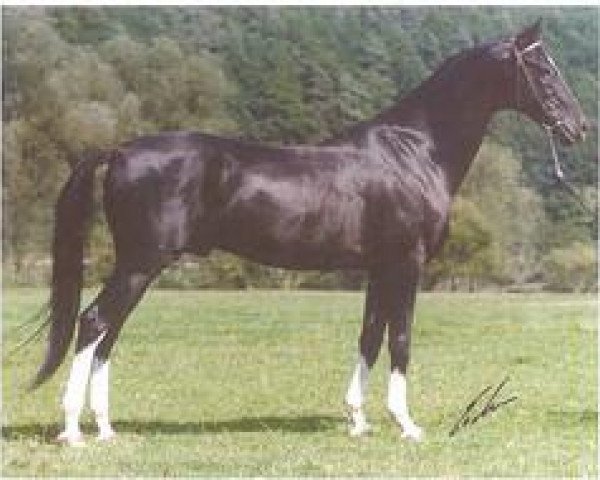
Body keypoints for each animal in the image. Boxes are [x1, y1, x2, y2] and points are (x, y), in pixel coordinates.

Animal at [31, 20, 584, 444]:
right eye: (541, 69)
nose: (579, 128)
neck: (415, 149)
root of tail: (120, 149)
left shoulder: (379, 268)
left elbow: (370, 336)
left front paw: (358, 421)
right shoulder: (407, 263)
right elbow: (401, 338)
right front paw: (406, 425)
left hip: (140, 267)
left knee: (107, 333)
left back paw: (104, 428)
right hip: (140, 263)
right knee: (93, 323)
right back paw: (74, 432)